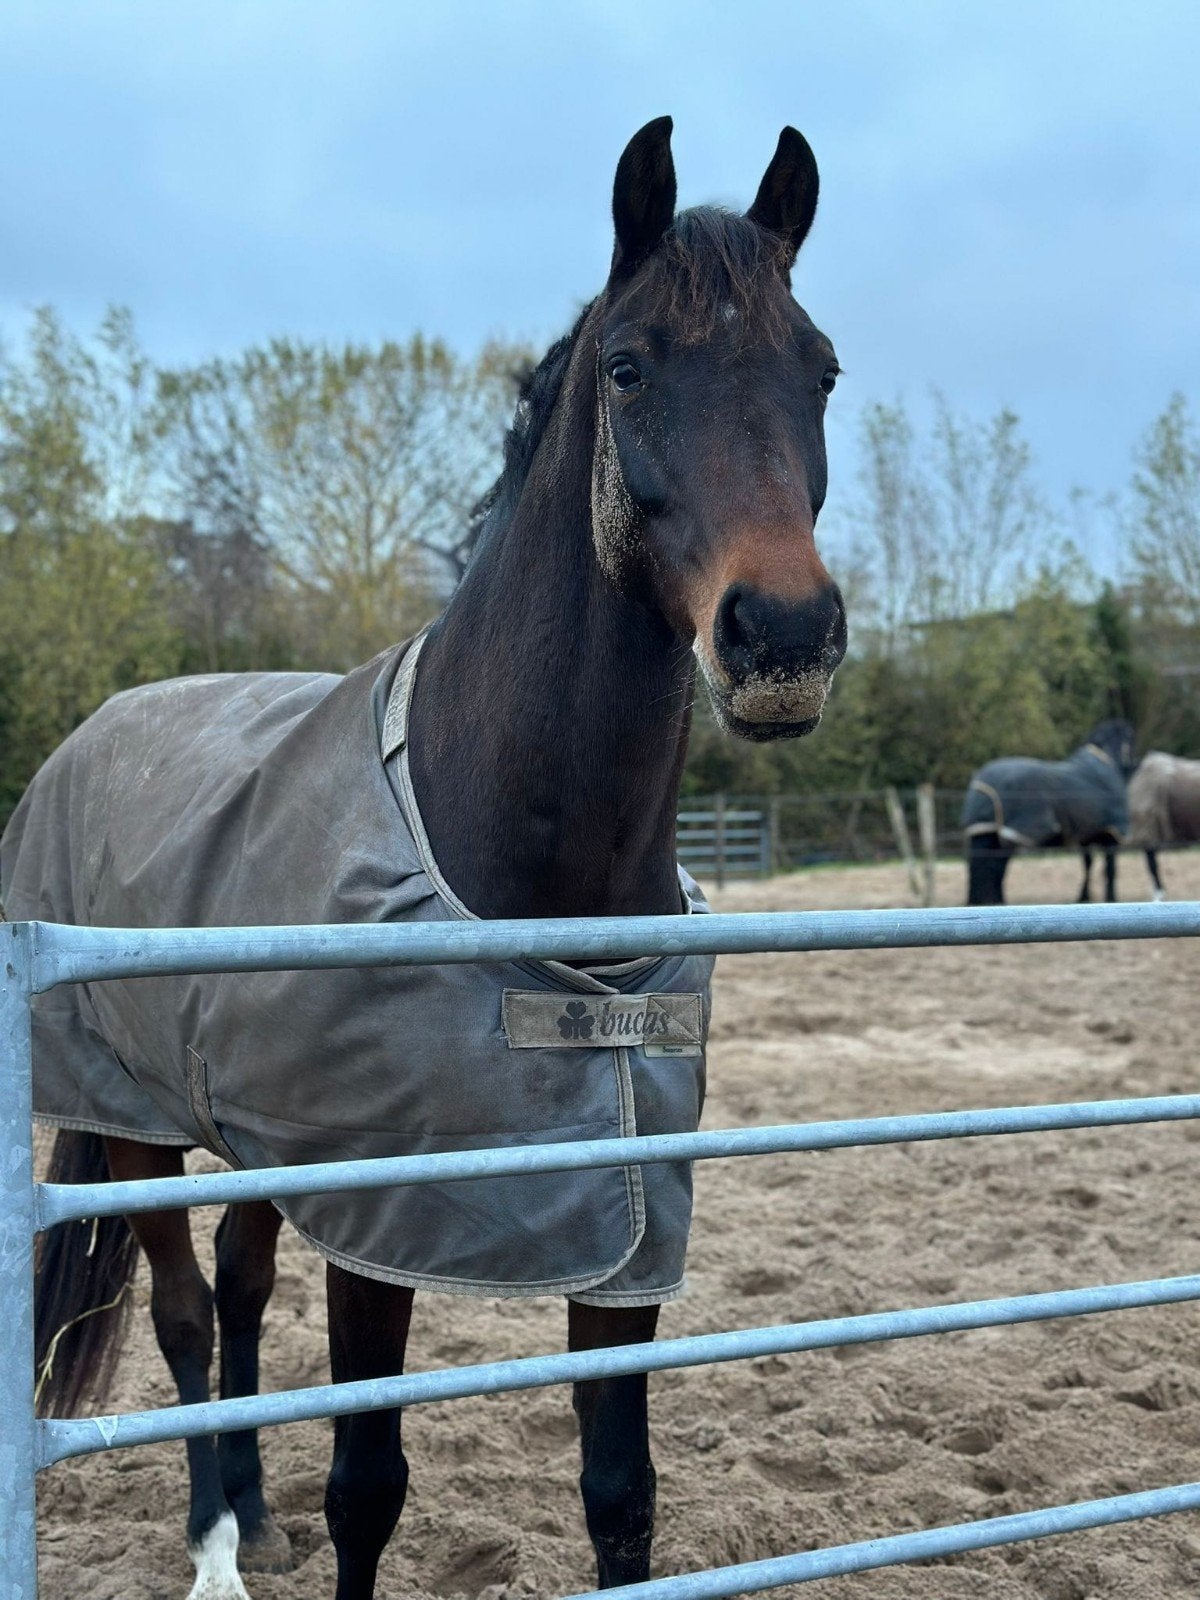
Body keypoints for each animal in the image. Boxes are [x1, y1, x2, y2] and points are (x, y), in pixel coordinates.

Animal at [0, 118, 846, 1600]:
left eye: (822, 369)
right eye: (630, 367)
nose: (784, 637)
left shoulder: (622, 1226)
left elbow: (619, 1492)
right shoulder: (383, 1217)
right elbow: (369, 1486)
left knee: (237, 1287)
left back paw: (251, 1512)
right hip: (138, 1126)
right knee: (181, 1310)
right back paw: (214, 1543)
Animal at [961, 719, 1135, 906]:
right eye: (1130, 738)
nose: (1133, 763)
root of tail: (983, 783)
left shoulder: (1086, 836)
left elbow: (1088, 864)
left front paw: (1083, 897)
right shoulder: (1111, 833)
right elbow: (1110, 868)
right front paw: (1110, 898)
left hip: (984, 831)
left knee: (978, 866)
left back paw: (979, 902)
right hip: (1008, 835)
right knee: (996, 867)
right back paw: (998, 901)